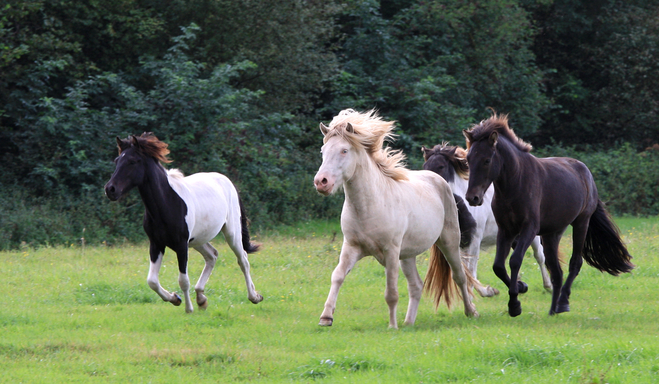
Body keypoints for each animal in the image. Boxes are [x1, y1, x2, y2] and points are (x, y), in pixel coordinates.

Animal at [103, 134, 262, 314]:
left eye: (132, 161)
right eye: (117, 160)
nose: (110, 189)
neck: (167, 202)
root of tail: (228, 182)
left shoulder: (180, 245)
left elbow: (183, 280)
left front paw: (188, 308)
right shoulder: (156, 244)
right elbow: (152, 281)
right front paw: (174, 298)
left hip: (231, 232)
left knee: (243, 260)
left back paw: (254, 297)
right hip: (197, 240)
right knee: (212, 256)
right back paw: (201, 298)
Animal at [312, 109, 482, 328]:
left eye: (344, 151)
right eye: (323, 151)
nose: (321, 182)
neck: (369, 206)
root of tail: (438, 180)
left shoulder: (390, 252)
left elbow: (391, 292)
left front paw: (392, 326)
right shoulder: (352, 247)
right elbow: (337, 276)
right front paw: (326, 317)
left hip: (449, 242)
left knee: (460, 276)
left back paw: (471, 312)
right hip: (407, 255)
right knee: (416, 285)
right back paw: (409, 322)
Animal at [422, 144, 552, 294]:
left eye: (441, 166)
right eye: (425, 165)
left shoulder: (474, 241)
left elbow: (471, 271)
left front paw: (486, 292)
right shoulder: (458, 244)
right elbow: (466, 271)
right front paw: (486, 292)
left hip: (532, 235)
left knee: (540, 256)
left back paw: (548, 286)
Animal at [464, 115, 636, 316]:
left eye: (486, 160)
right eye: (468, 159)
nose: (472, 198)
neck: (516, 182)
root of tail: (586, 173)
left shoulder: (529, 229)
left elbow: (515, 261)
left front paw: (514, 304)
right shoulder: (506, 230)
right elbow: (498, 266)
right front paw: (521, 287)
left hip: (581, 223)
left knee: (575, 263)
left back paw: (563, 302)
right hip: (551, 234)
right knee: (556, 271)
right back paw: (553, 310)